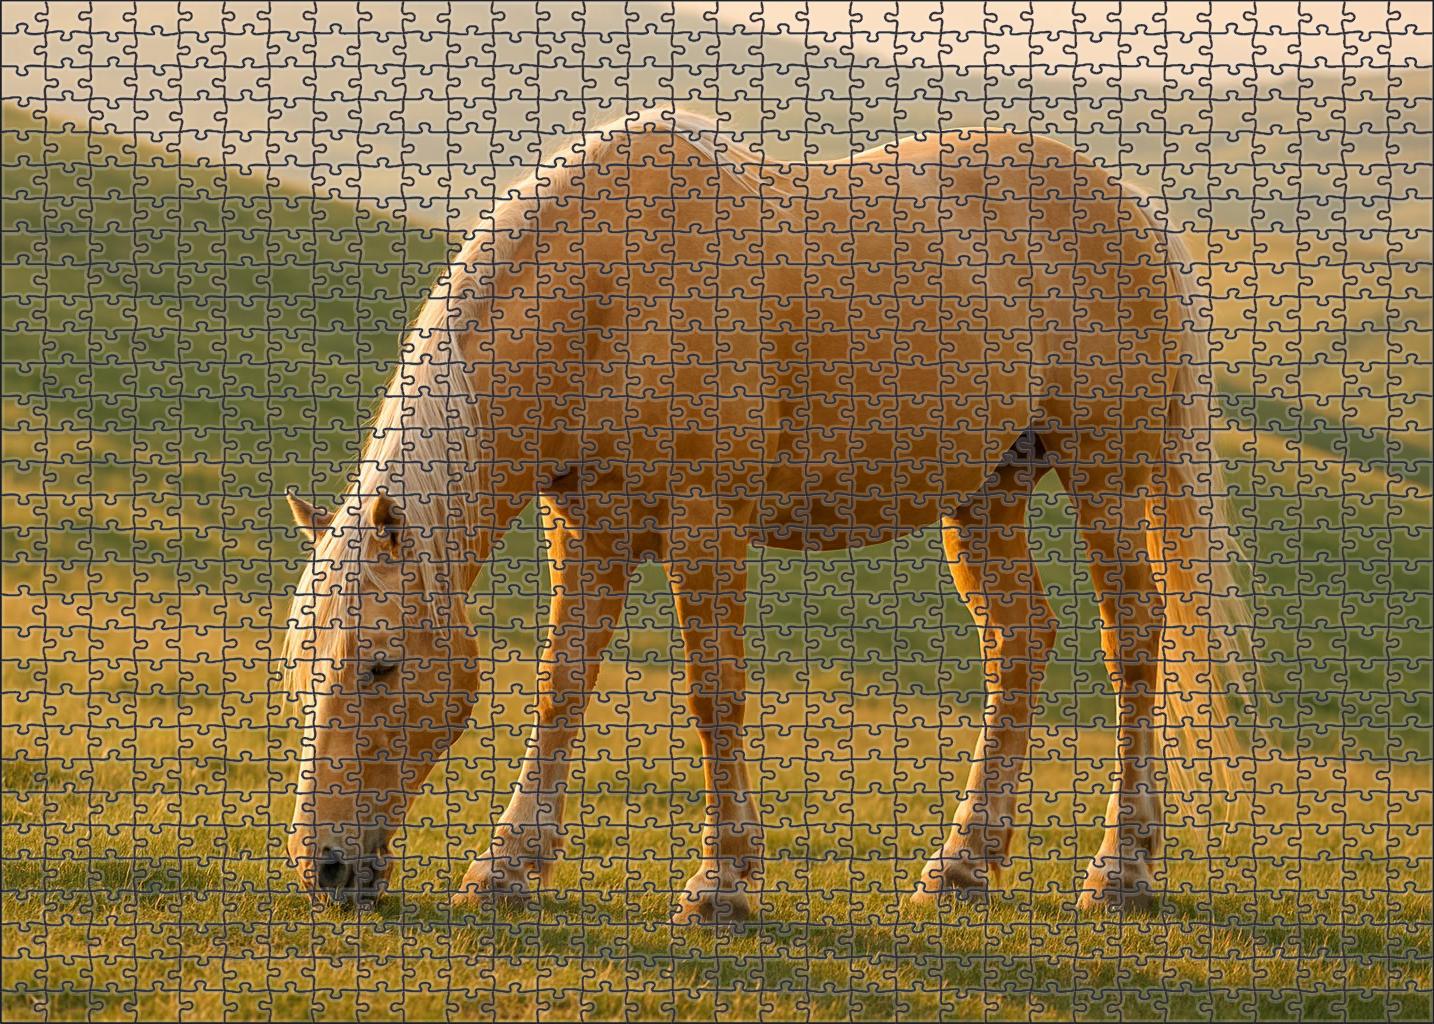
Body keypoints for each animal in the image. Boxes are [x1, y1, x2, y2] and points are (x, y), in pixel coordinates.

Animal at [281, 108, 1248, 924]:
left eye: (381, 665)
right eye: (303, 668)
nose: (325, 868)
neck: (613, 290)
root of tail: (1137, 210)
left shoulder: (705, 526)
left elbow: (715, 694)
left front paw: (722, 881)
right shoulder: (590, 532)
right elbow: (563, 685)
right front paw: (508, 866)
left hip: (1108, 482)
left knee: (1136, 641)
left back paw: (1121, 867)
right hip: (988, 498)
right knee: (1020, 642)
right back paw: (963, 864)